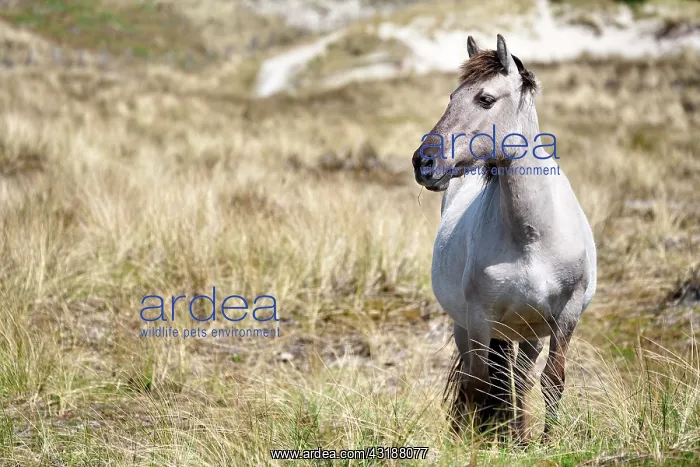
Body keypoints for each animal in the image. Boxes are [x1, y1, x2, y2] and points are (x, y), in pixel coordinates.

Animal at [411, 34, 597, 442]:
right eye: (452, 96)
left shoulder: (566, 317)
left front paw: (542, 444)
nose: (423, 163)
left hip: (527, 332)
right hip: (468, 328)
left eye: (485, 99)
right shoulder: (480, 319)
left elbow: (552, 381)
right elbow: (480, 386)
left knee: (519, 381)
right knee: (480, 380)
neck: (531, 236)